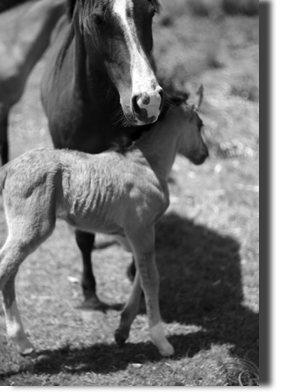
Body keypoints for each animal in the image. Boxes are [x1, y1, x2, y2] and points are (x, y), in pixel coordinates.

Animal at [0, 102, 207, 358]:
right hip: (33, 228)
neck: (145, 164)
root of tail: (8, 167)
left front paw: (123, 330)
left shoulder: (128, 234)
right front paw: (162, 342)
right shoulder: (141, 228)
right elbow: (151, 278)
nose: (204, 154)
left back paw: (22, 341)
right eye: (199, 125)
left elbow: (140, 272)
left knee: (9, 272)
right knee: (6, 270)